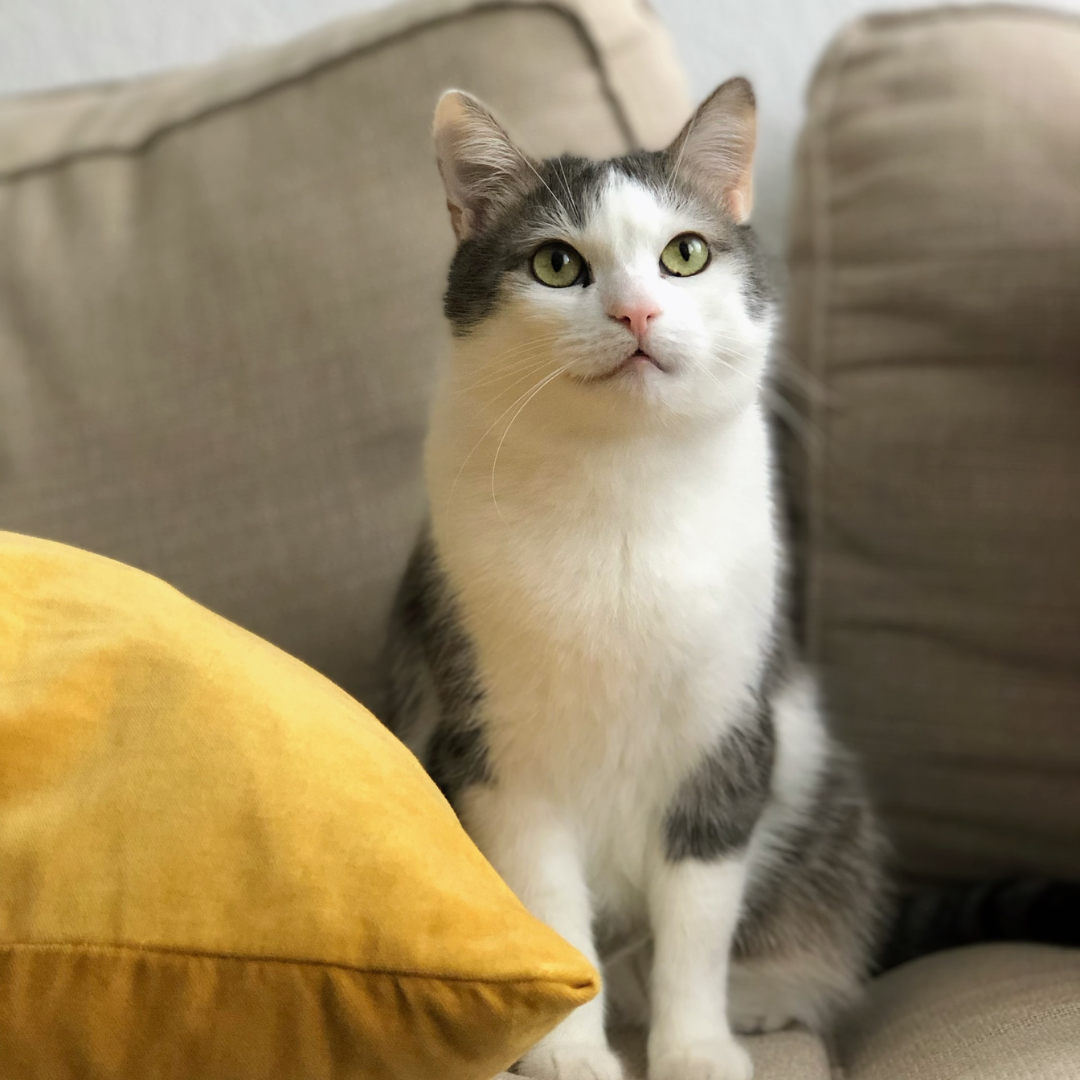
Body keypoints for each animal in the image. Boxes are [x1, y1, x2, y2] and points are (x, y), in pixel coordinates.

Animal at [384, 78, 889, 1080]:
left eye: (684, 253)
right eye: (555, 264)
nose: (637, 316)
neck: (619, 492)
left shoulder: (726, 741)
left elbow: (697, 925)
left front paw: (697, 1051)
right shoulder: (499, 758)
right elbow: (550, 914)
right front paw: (569, 1055)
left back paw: (762, 1002)